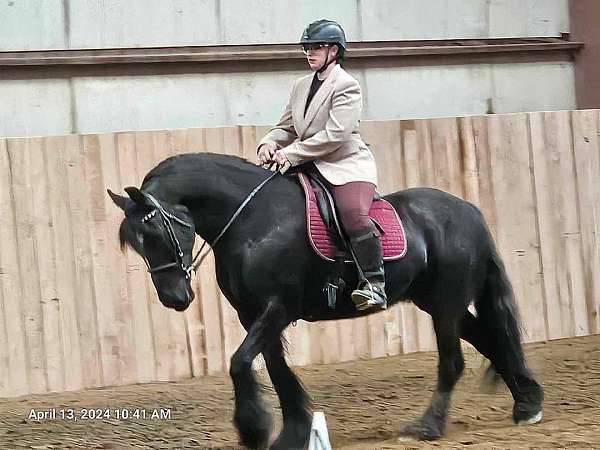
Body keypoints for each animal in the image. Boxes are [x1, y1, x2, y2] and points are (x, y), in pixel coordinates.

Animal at [108, 153, 544, 448]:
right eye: (137, 244)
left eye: (156, 233)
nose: (174, 298)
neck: (254, 220)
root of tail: (469, 211)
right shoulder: (253, 313)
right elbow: (276, 370)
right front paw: (294, 432)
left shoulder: (277, 308)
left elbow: (239, 362)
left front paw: (253, 430)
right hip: (436, 302)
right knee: (491, 339)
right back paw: (527, 405)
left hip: (445, 304)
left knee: (453, 362)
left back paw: (428, 426)